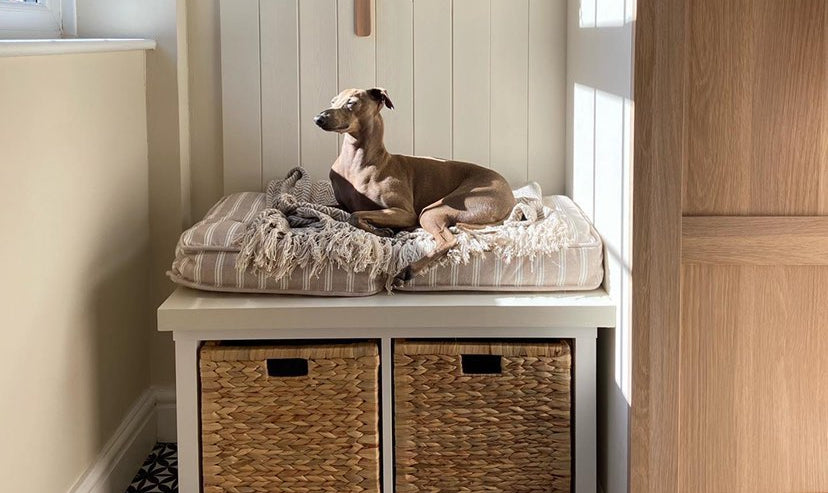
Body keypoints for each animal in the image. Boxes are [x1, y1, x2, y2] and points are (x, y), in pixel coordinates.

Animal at [314, 88, 516, 280]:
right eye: (333, 101)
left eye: (352, 103)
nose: (318, 118)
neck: (356, 161)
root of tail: (511, 198)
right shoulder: (342, 205)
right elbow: (338, 211)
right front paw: (382, 230)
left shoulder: (405, 213)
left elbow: (355, 216)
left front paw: (382, 231)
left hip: (433, 211)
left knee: (448, 240)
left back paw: (408, 270)